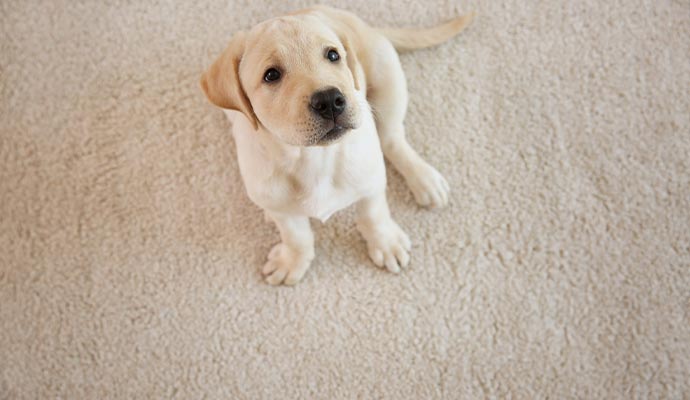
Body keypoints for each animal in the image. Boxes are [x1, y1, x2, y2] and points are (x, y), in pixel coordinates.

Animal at [200, 6, 472, 284]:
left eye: (333, 55)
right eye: (271, 75)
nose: (330, 100)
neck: (312, 159)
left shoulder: (371, 182)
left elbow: (373, 214)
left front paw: (385, 243)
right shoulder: (277, 203)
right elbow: (296, 235)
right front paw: (293, 260)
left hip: (387, 78)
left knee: (392, 138)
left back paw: (424, 179)